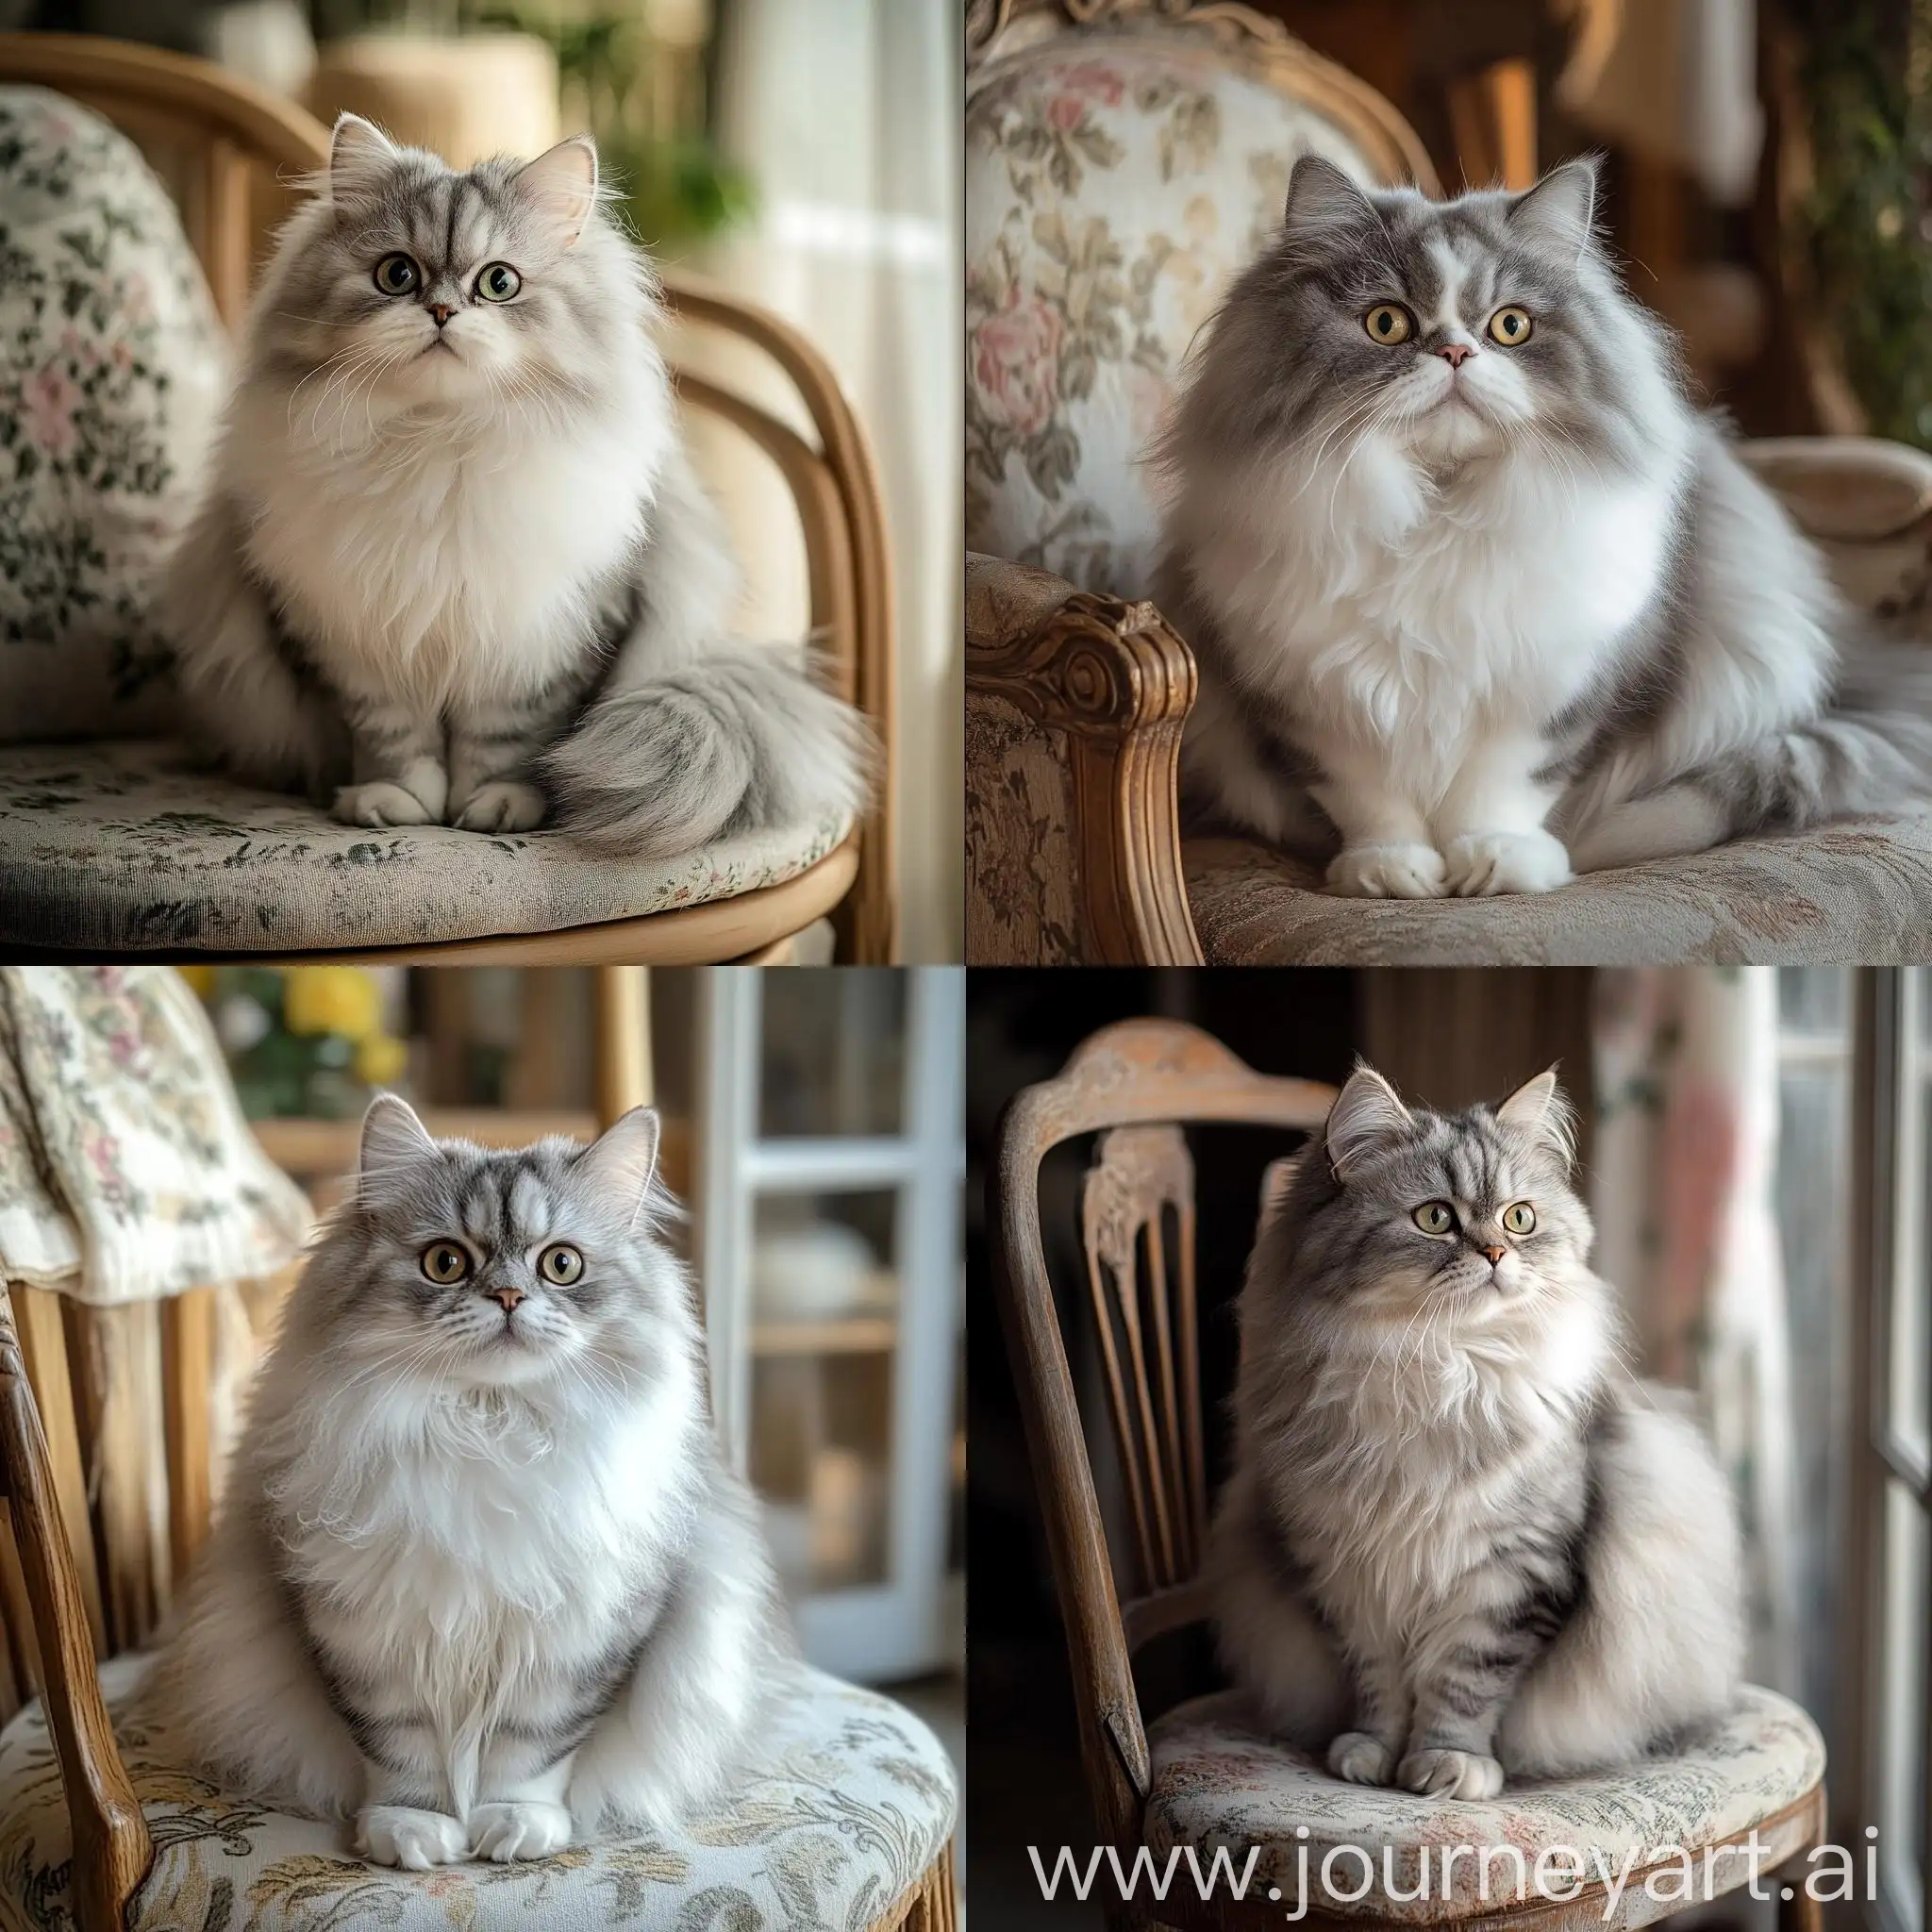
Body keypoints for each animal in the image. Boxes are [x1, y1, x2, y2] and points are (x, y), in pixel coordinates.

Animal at [141, 1105, 791, 1870]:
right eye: (446, 1262)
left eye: (561, 1265)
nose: (508, 1296)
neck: (487, 1428)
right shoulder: (363, 1637)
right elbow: (399, 1753)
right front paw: (413, 1833)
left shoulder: (578, 1640)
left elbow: (532, 1752)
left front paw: (513, 1827)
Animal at [164, 112, 861, 854]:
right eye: (397, 274)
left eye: (498, 283)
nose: (442, 312)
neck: (439, 442)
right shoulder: (351, 640)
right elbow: (395, 740)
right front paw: (398, 803)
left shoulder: (548, 640)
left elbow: (509, 741)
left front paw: (497, 806)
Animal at [1151, 156, 1932, 896]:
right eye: (1387, 323)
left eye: (1511, 325)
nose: (1456, 353)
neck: (1439, 513)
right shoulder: (1312, 705)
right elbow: (1370, 802)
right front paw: (1392, 873)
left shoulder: (1560, 689)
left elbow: (1506, 790)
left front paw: (1497, 864)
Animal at [1213, 1058, 1746, 1792]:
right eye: (1435, 1217)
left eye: (1519, 1219)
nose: (1496, 1254)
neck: (1441, 1374)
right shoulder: (1348, 1573)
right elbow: (1379, 1683)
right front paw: (1373, 1755)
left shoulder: (1513, 1570)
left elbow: (1465, 1683)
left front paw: (1448, 1765)